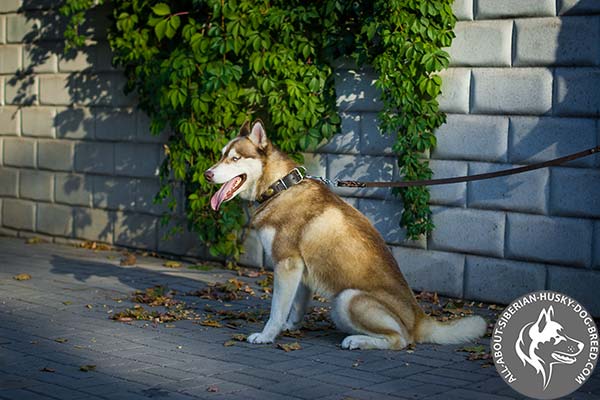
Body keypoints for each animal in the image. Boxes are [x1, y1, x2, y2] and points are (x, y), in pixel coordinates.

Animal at [203, 119, 488, 350]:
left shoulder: (286, 264)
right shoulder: (302, 271)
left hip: (347, 299)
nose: (207, 173)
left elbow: (276, 309)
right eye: (221, 155)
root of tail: (419, 318)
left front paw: (266, 335)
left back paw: (357, 341)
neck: (279, 187)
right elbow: (296, 306)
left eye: (235, 159)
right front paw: (290, 327)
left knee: (401, 340)